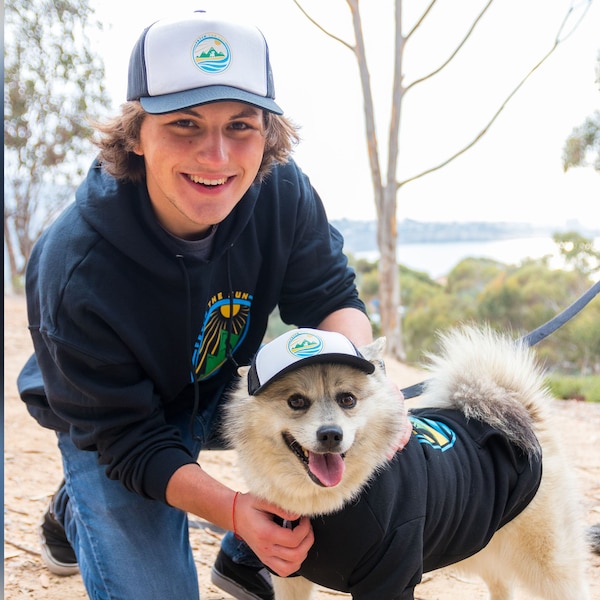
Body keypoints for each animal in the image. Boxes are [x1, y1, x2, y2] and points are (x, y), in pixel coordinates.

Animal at [223, 328, 588, 600]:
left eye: (347, 400)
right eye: (296, 401)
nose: (330, 435)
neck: (327, 507)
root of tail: (523, 411)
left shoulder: (391, 576)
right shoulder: (290, 577)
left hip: (548, 565)